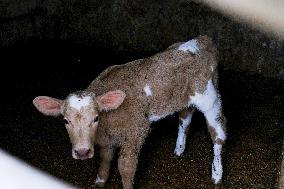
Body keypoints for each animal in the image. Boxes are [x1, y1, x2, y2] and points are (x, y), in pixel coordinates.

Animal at [32, 35, 226, 189]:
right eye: (66, 121)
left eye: (95, 118)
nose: (82, 152)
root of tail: (203, 39)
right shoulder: (107, 138)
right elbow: (106, 157)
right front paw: (100, 180)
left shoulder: (136, 130)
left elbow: (125, 166)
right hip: (183, 98)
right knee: (185, 118)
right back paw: (179, 150)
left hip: (209, 97)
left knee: (218, 132)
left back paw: (216, 174)